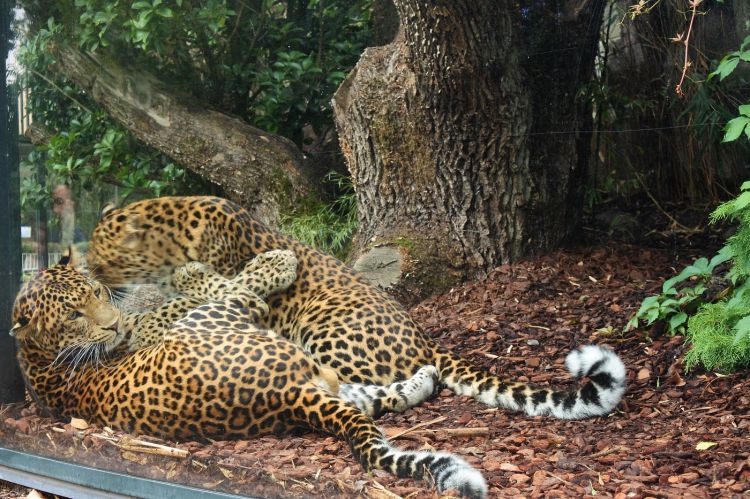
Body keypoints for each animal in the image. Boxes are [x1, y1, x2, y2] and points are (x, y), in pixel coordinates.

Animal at [88, 195, 628, 422]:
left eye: (101, 256)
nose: (93, 274)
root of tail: (426, 337)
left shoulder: (236, 281)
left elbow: (206, 289)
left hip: (323, 323)